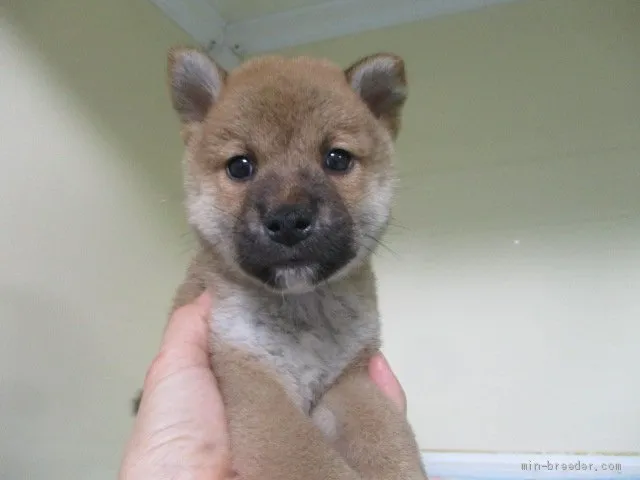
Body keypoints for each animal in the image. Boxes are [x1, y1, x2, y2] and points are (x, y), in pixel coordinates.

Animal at [132, 46, 428, 480]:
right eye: (240, 166)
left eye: (337, 159)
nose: (288, 220)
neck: (303, 309)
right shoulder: (250, 381)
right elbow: (313, 462)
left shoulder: (349, 379)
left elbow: (388, 438)